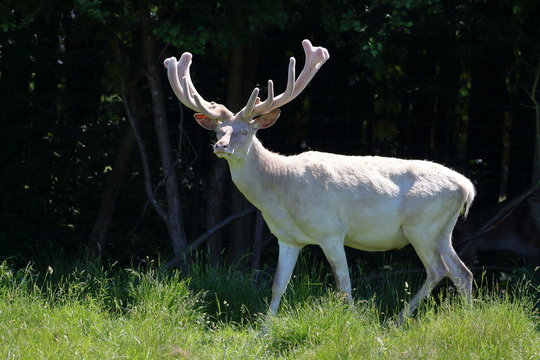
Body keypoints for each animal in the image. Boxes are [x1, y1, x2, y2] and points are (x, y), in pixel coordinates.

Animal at [163, 39, 472, 320]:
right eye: (219, 131)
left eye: (246, 132)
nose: (220, 146)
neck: (280, 193)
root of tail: (467, 188)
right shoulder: (287, 238)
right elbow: (278, 285)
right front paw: (263, 331)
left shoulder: (331, 230)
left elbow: (344, 285)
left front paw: (356, 324)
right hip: (442, 229)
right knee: (462, 272)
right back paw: (465, 318)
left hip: (421, 226)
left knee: (439, 269)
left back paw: (397, 319)